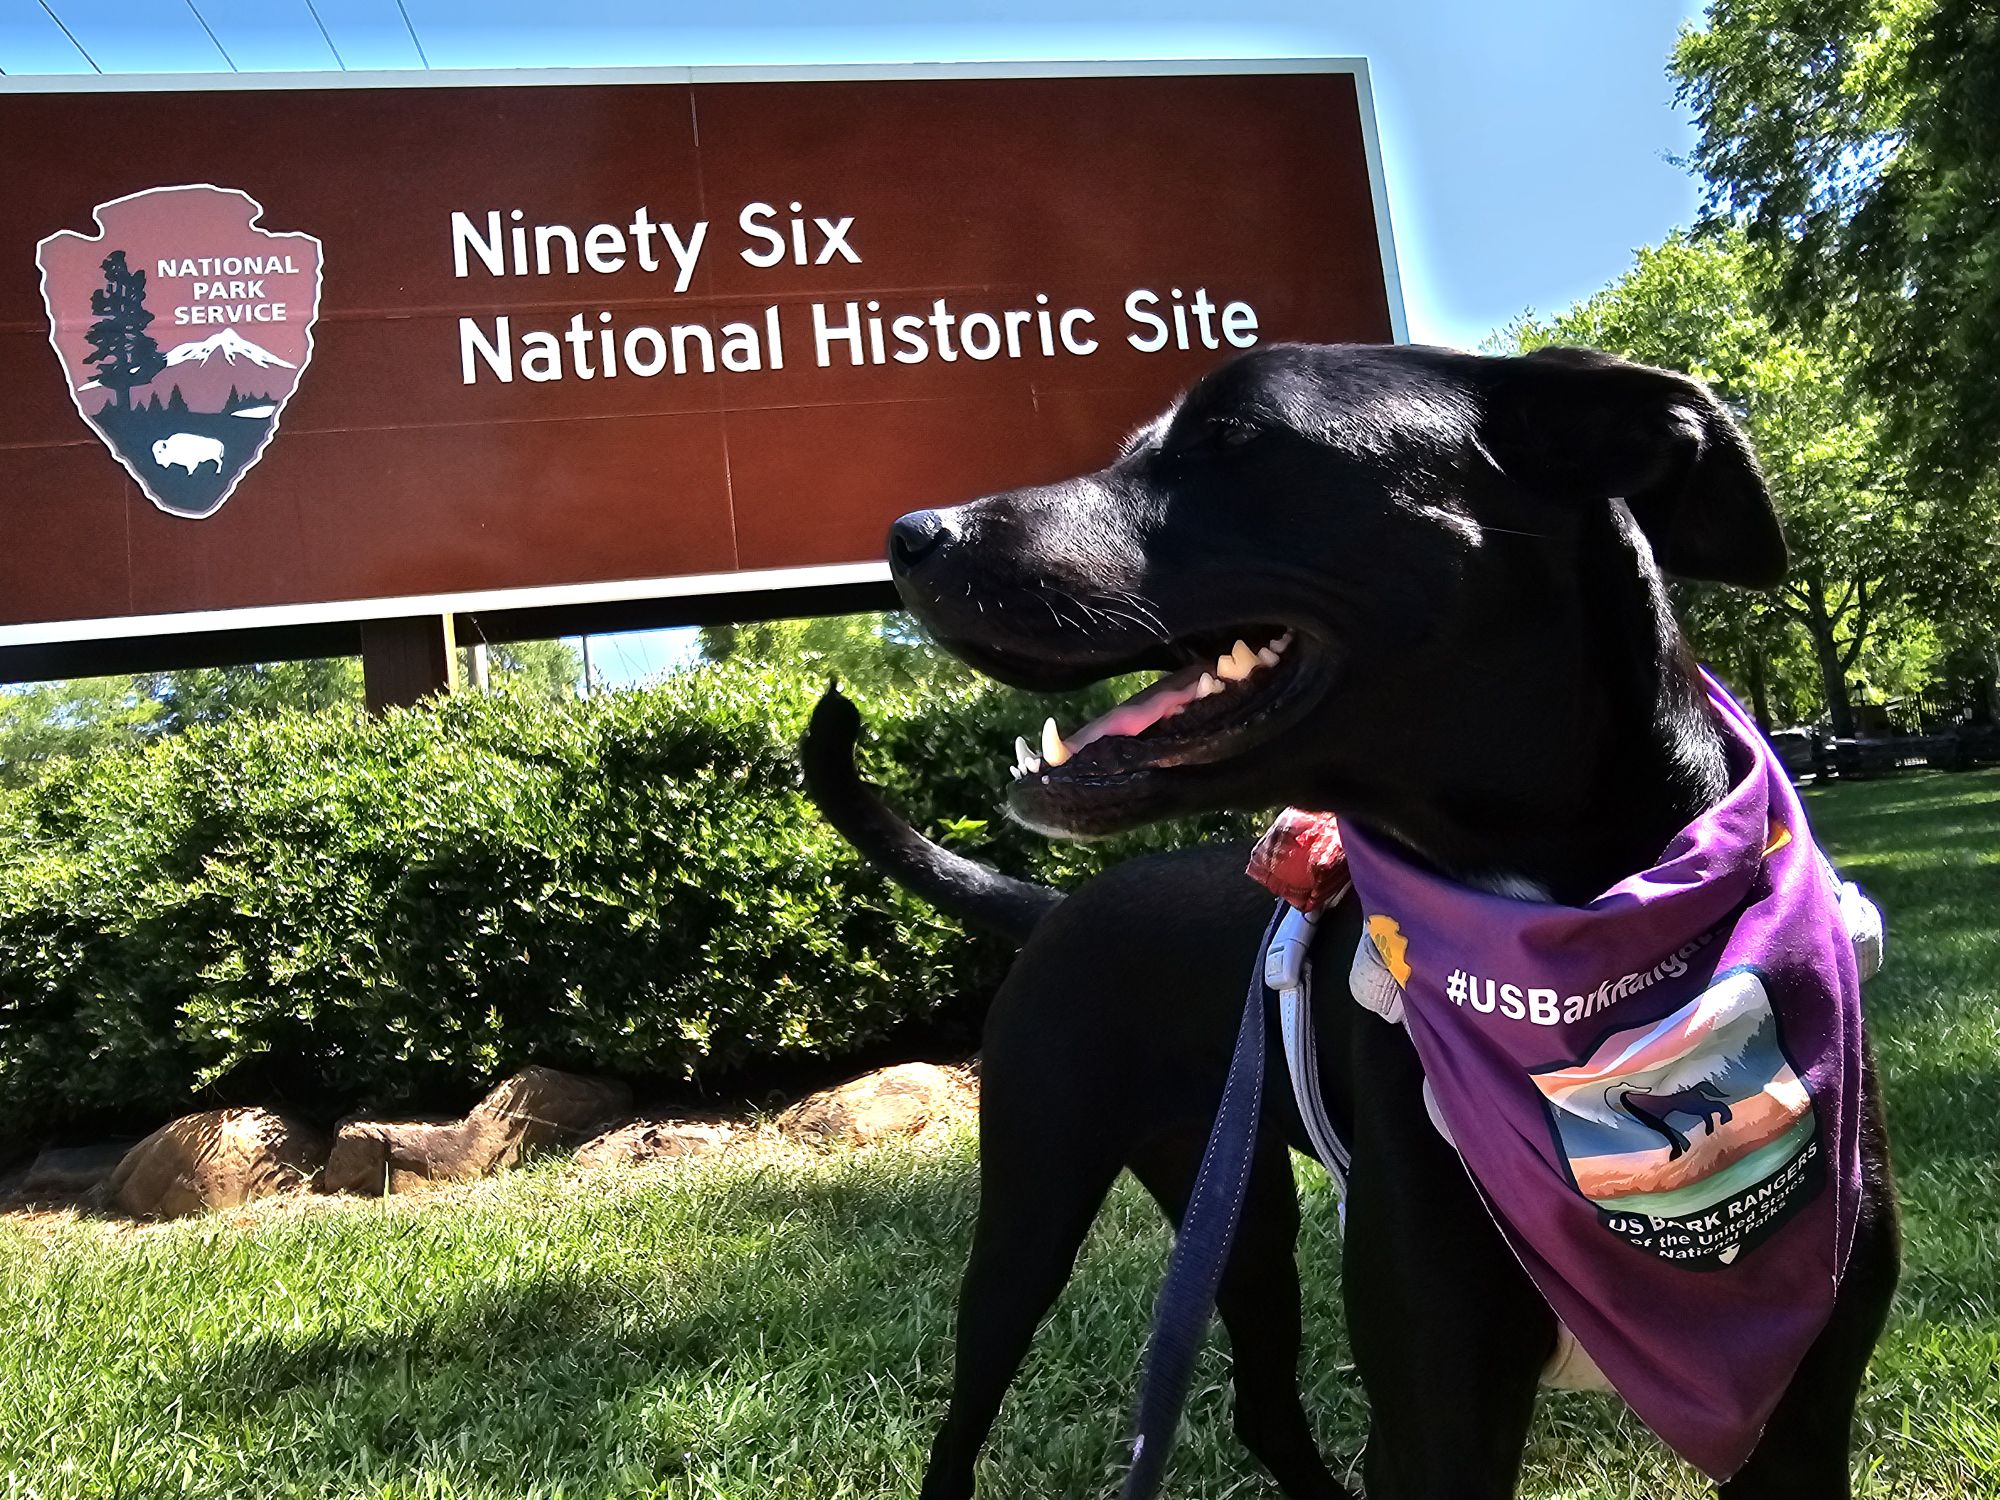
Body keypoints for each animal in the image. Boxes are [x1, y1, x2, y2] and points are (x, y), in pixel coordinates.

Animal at [801, 343, 1899, 1499]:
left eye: (1233, 438)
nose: (910, 535)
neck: (1573, 941)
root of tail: (1057, 904)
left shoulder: (1800, 1416)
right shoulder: (1437, 1411)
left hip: (1232, 1207)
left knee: (1261, 1405)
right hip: (1032, 1214)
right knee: (964, 1425)